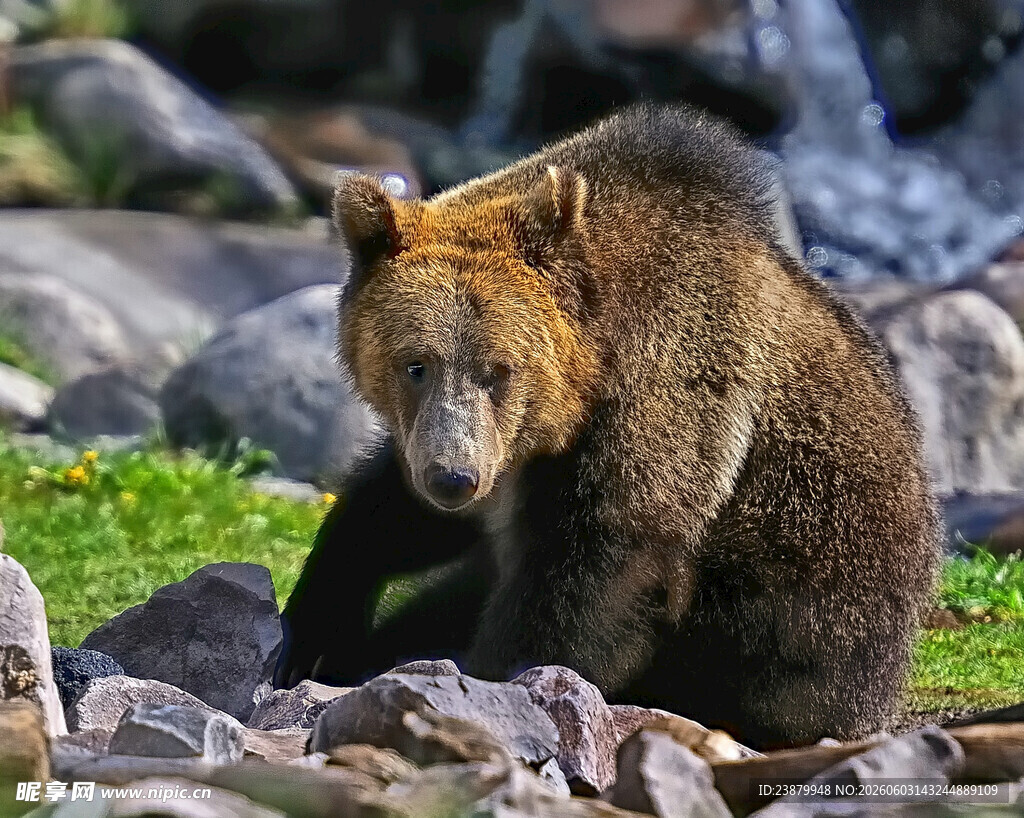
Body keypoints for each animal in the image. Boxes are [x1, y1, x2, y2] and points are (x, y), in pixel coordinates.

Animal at [274, 103, 941, 748]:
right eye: (415, 364)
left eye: (499, 370)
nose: (453, 479)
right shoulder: (494, 455)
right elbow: (388, 512)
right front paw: (317, 630)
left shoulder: (669, 405)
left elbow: (593, 579)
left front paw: (493, 679)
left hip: (793, 609)